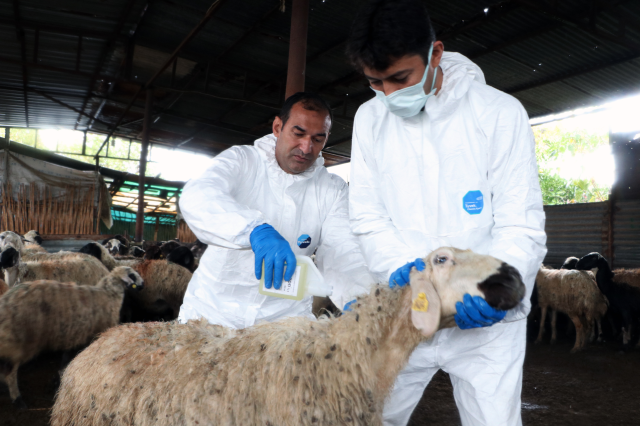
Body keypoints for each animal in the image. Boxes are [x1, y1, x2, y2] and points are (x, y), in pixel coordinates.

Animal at [0, 266, 142, 410]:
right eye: (132, 275)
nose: (142, 285)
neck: (109, 295)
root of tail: (6, 302)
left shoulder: (74, 338)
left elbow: (65, 363)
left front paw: (57, 381)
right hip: (19, 343)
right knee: (10, 372)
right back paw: (17, 399)